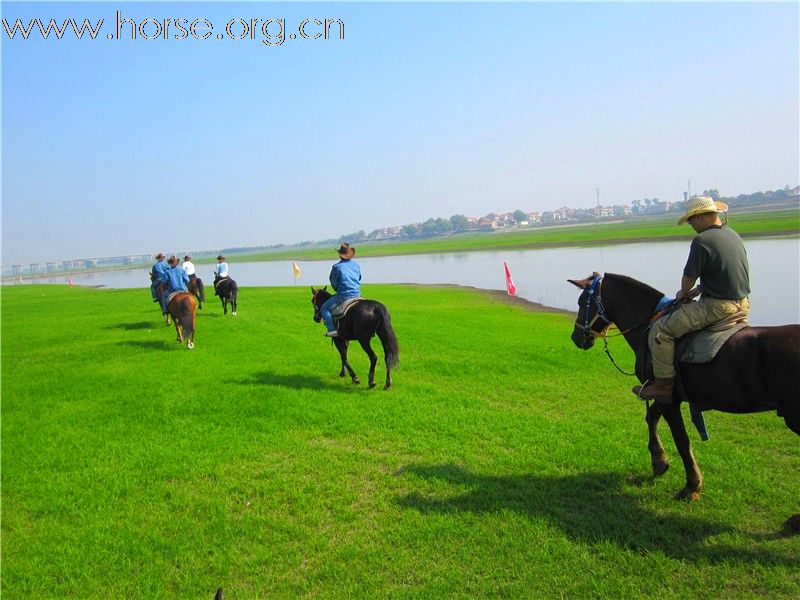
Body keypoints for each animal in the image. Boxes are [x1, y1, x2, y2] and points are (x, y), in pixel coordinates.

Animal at [564, 272, 796, 528]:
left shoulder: (668, 399)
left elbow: (681, 440)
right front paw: (659, 461)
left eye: (582, 302)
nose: (576, 337)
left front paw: (691, 486)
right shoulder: (663, 395)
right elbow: (651, 416)